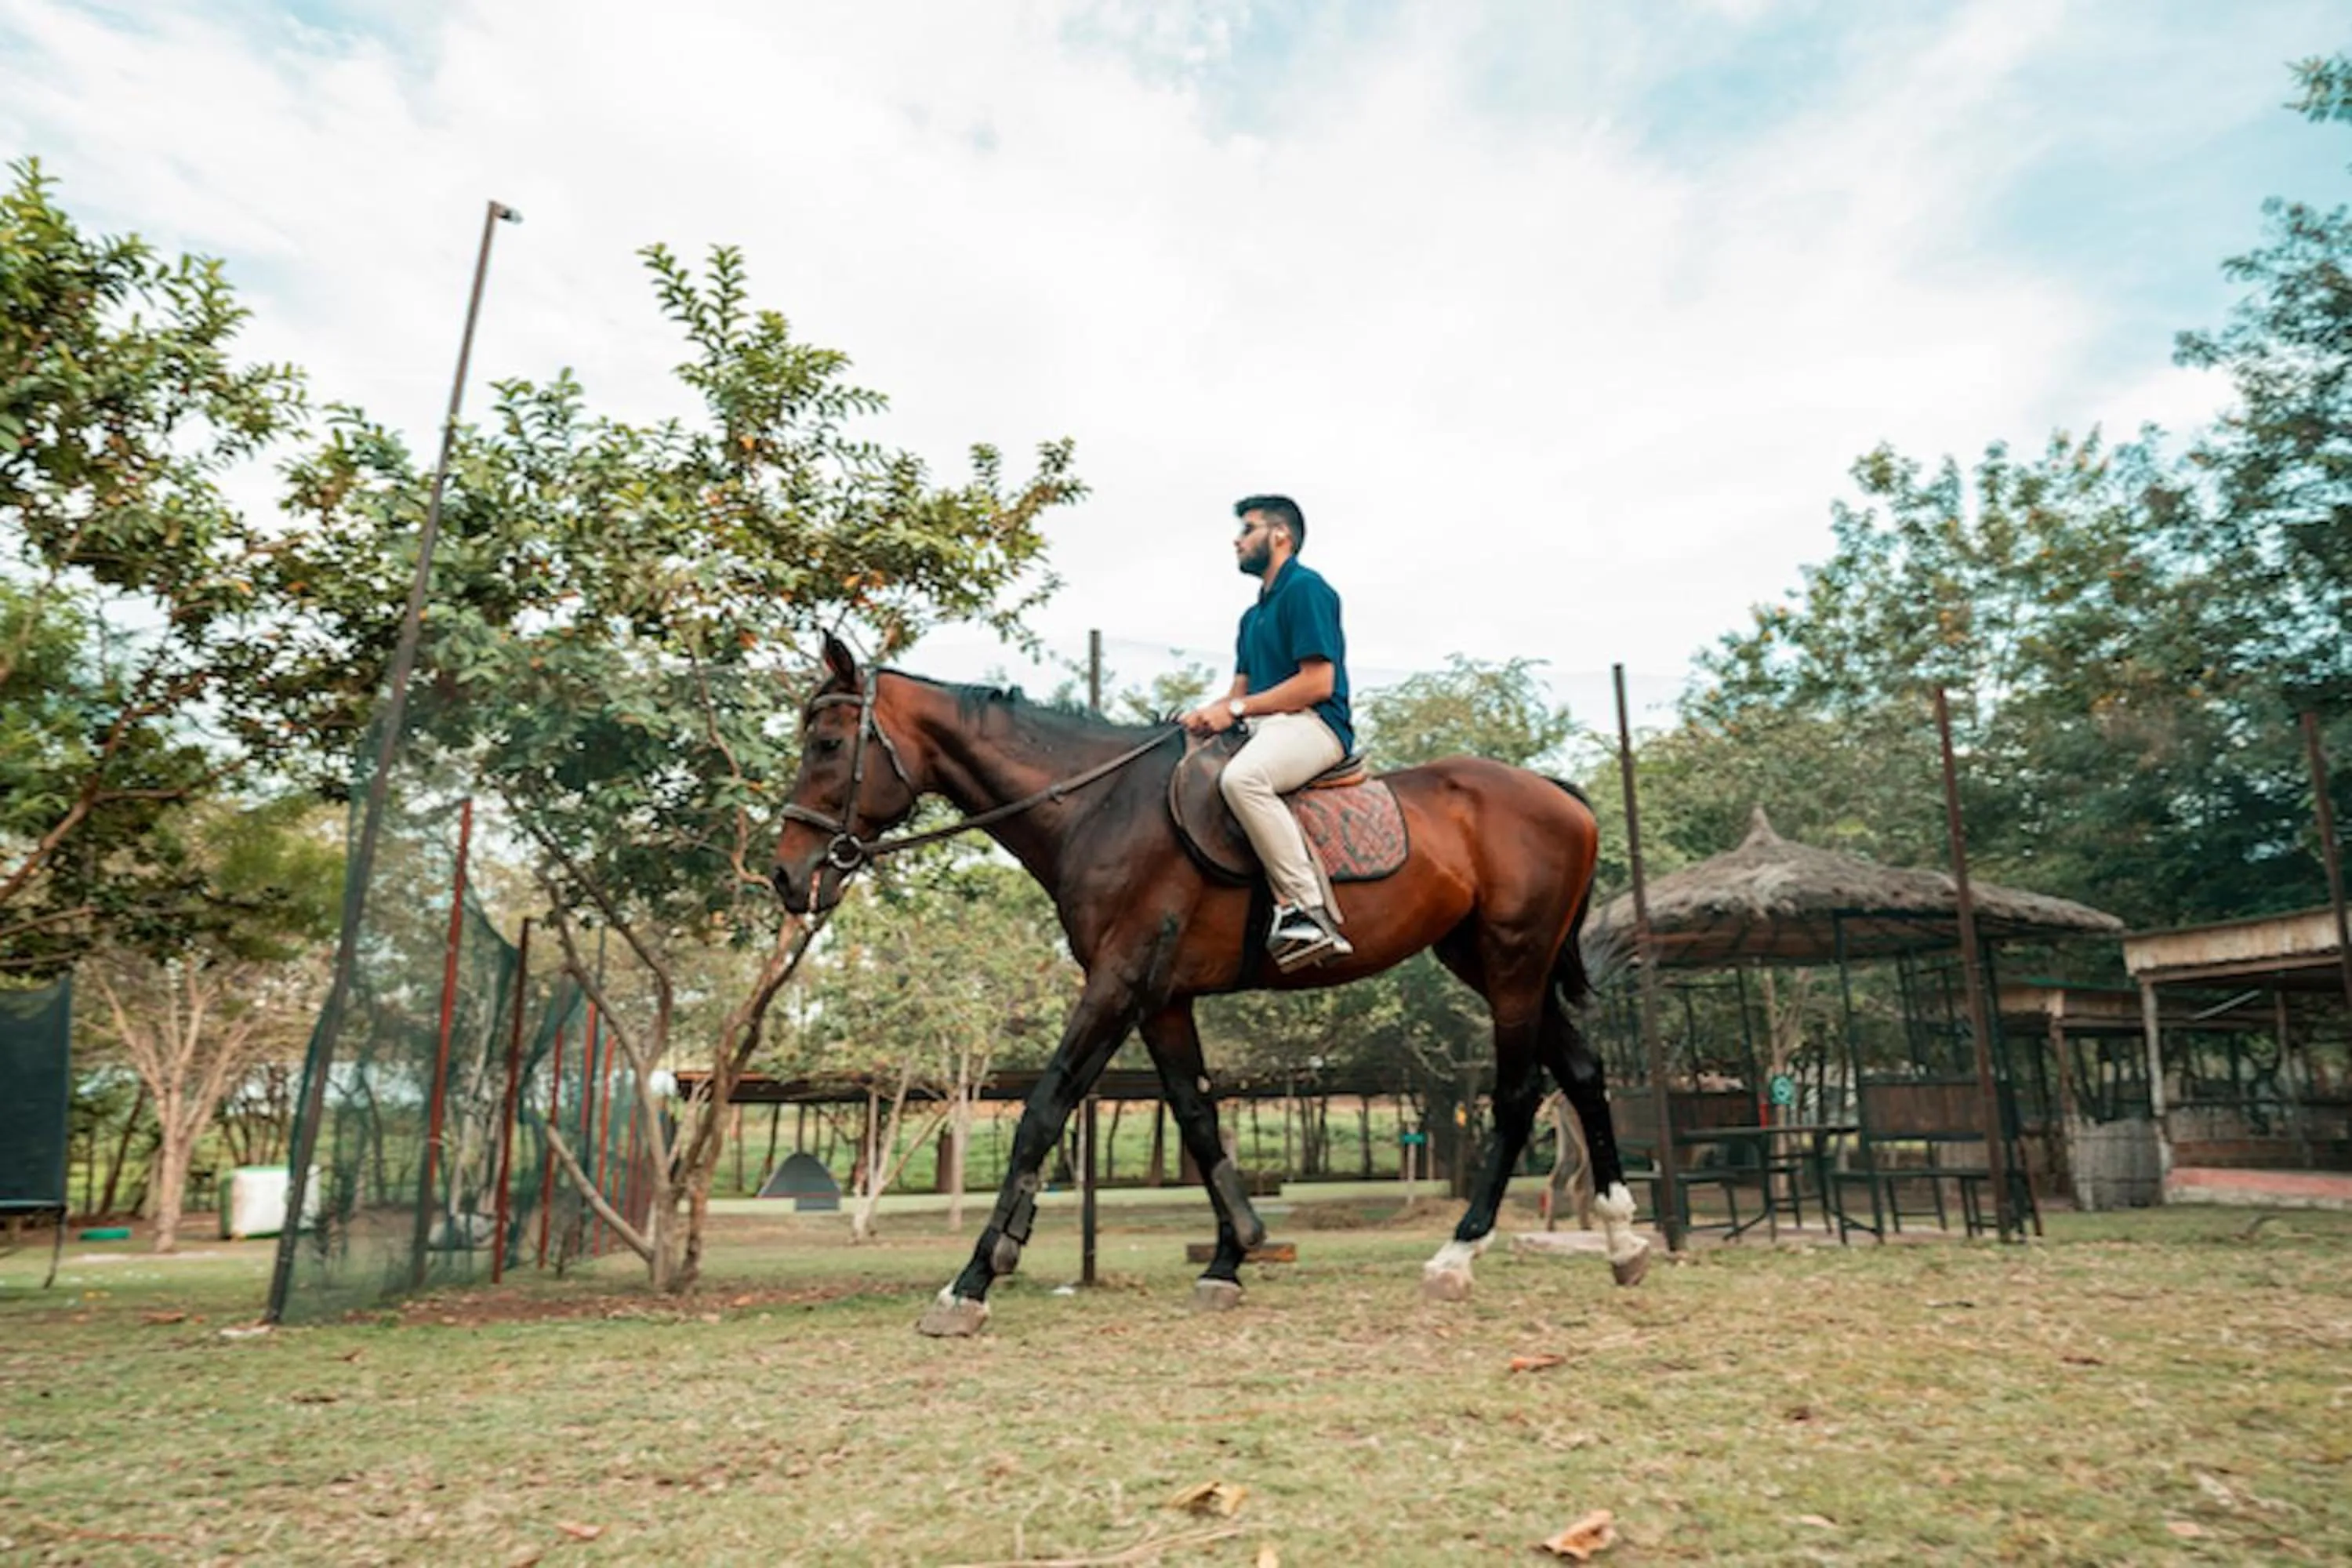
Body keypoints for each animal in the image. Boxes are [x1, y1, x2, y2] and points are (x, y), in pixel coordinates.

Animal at [771, 635, 1648, 1336]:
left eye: (827, 742)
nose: (787, 876)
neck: (1098, 805)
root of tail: (1560, 793)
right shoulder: (1161, 998)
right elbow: (1197, 1117)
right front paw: (1233, 1256)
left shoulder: (1117, 983)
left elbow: (1043, 1111)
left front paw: (974, 1281)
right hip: (1497, 963)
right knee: (1582, 1071)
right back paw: (1623, 1240)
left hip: (1513, 965)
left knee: (1519, 1092)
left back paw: (1457, 1255)